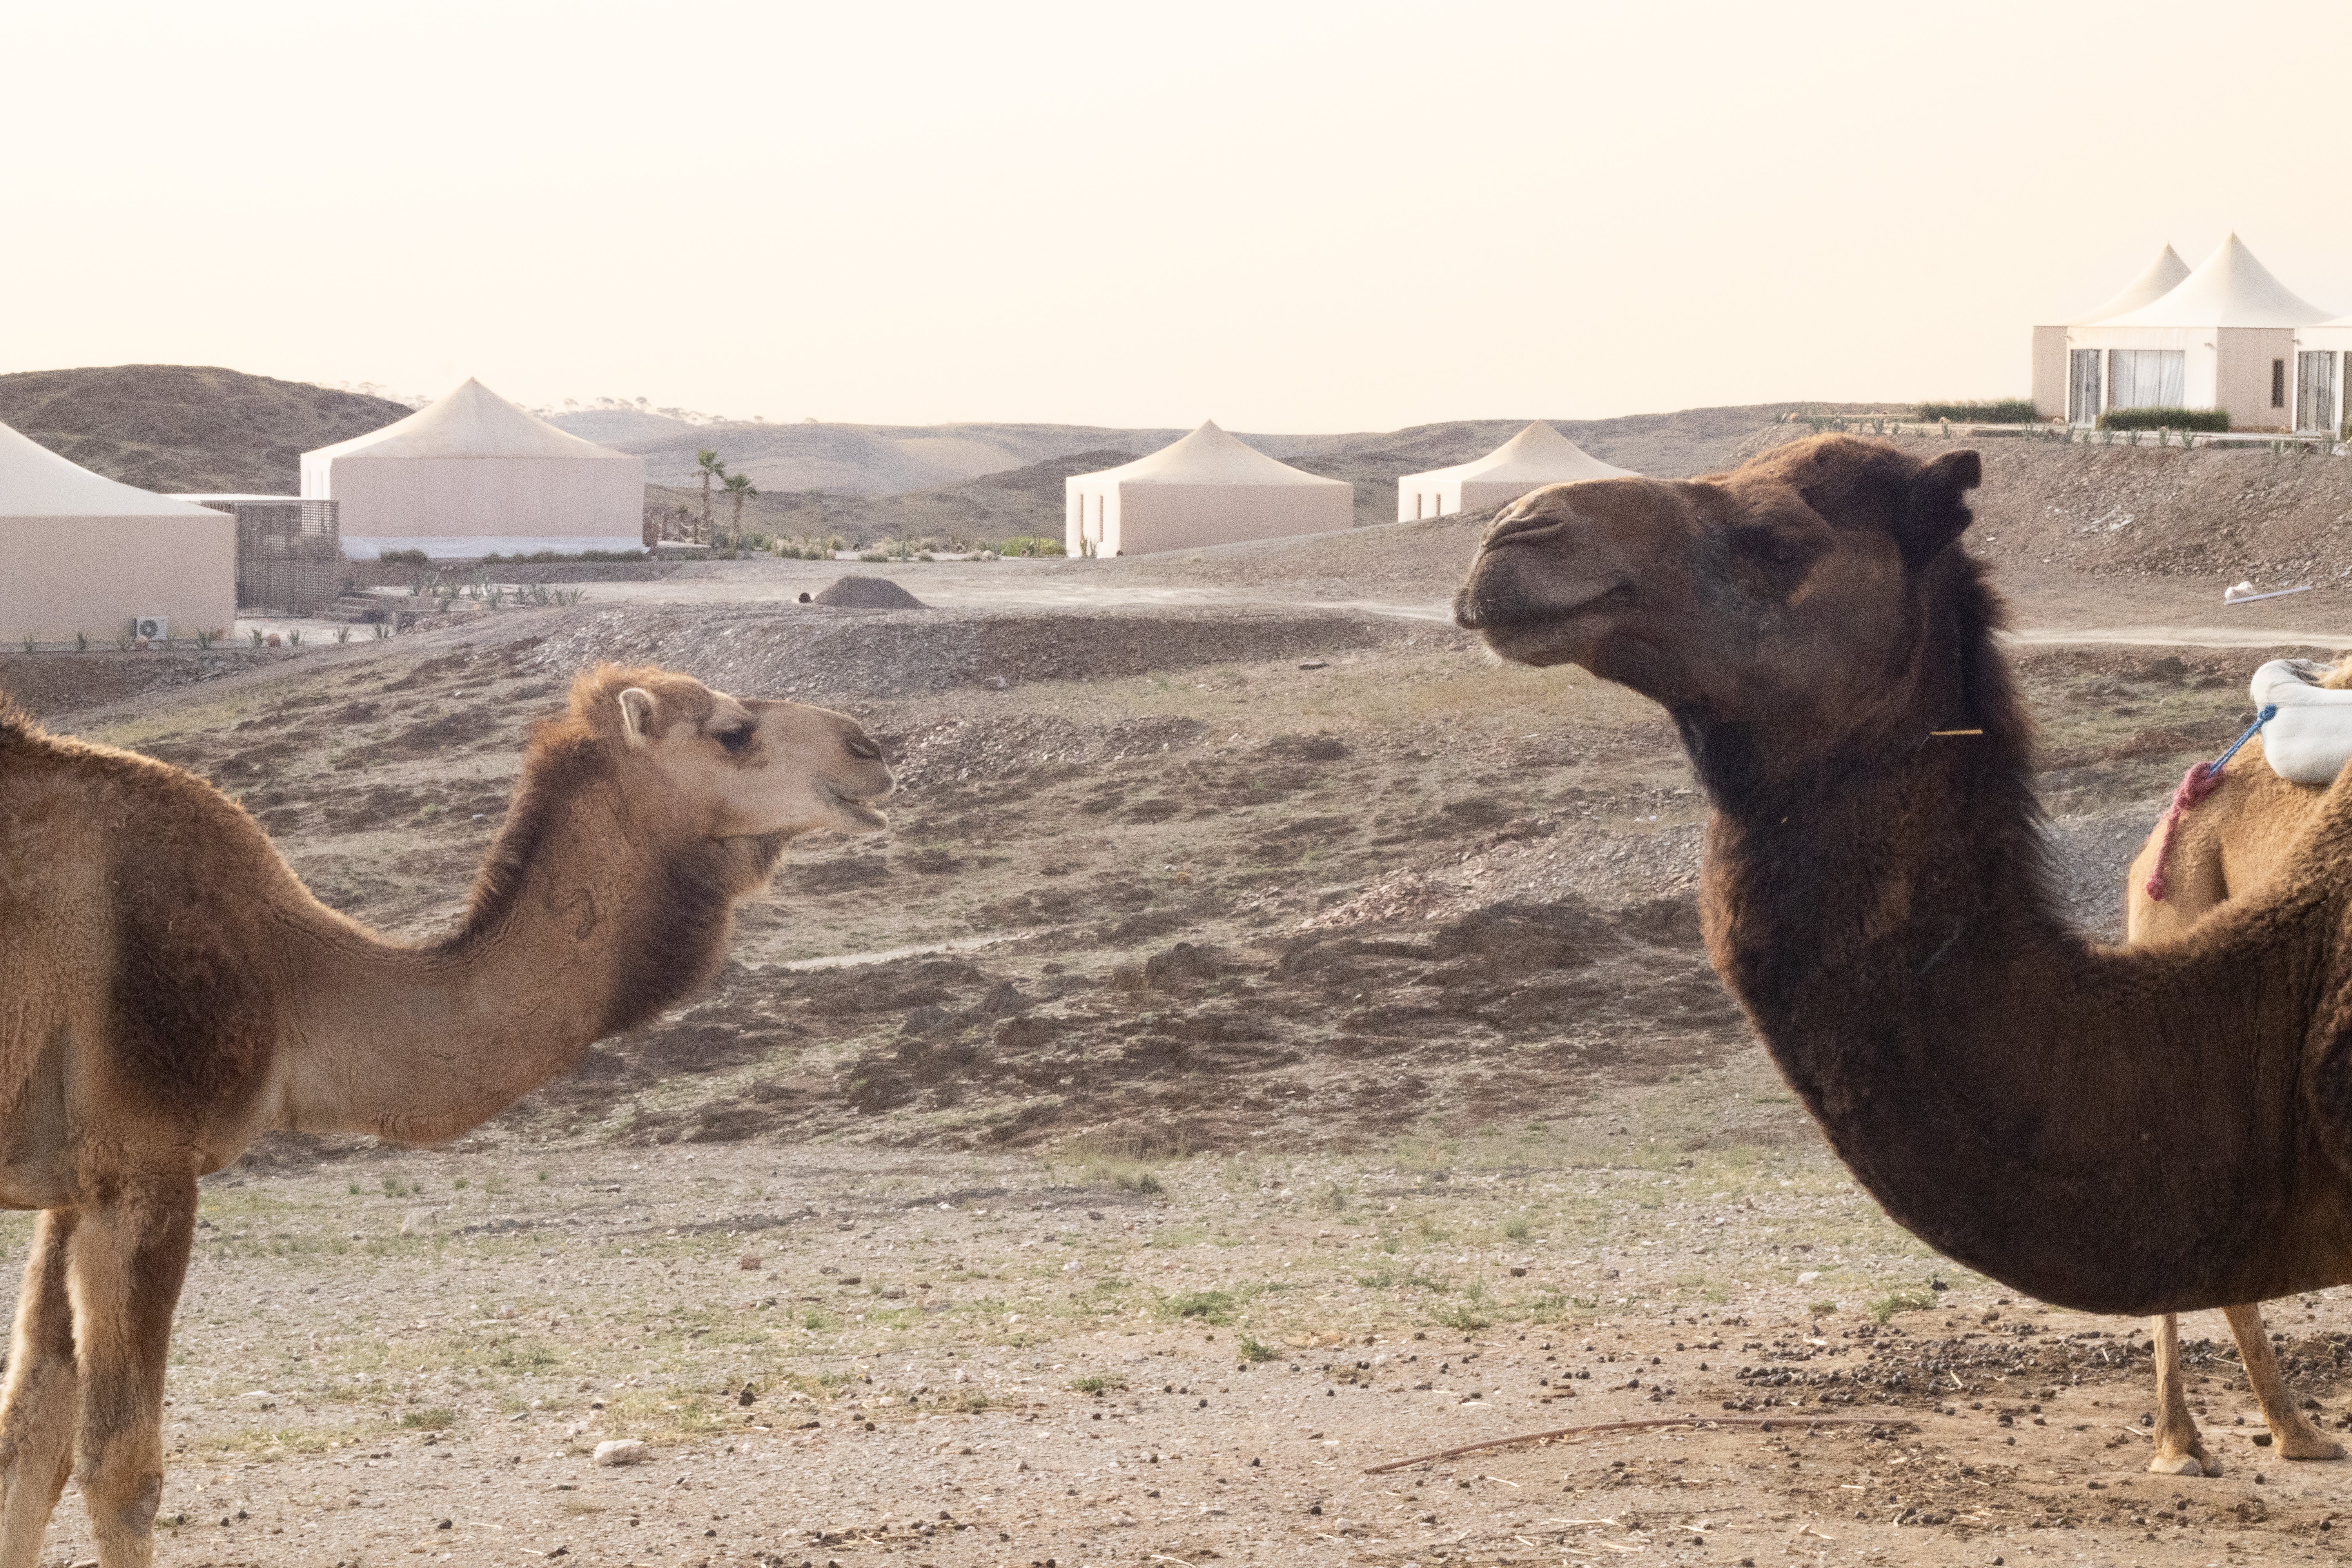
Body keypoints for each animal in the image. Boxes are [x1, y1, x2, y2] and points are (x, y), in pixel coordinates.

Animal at [0, 668, 894, 1568]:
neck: (291, 981)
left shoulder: (71, 1185)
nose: (870, 749)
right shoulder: (142, 1159)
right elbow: (122, 1470)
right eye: (732, 731)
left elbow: (29, 1443)